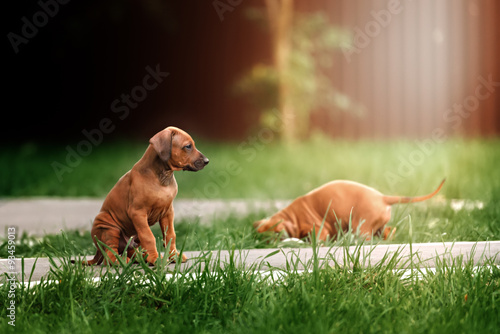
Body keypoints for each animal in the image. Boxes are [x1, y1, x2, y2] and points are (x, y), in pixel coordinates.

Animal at [80, 126, 209, 266]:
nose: (207, 161)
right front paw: (155, 259)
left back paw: (141, 258)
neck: (163, 176)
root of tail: (98, 252)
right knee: (109, 254)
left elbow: (170, 235)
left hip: (133, 236)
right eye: (188, 146)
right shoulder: (138, 213)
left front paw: (173, 256)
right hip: (108, 227)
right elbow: (148, 237)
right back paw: (121, 261)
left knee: (131, 251)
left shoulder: (168, 212)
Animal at [254, 179, 446, 241]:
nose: (264, 245)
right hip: (377, 226)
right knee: (389, 231)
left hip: (360, 227)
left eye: (276, 234)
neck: (292, 215)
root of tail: (383, 197)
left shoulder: (319, 229)